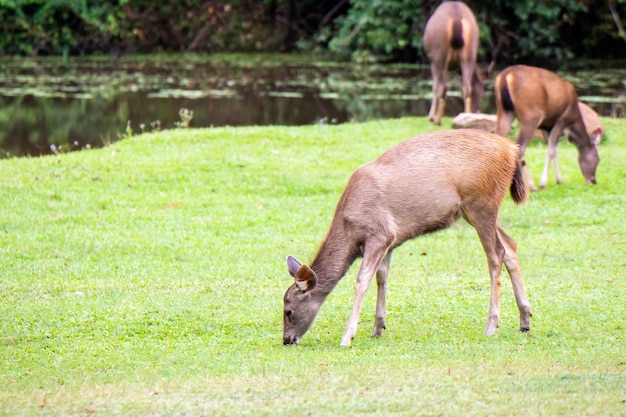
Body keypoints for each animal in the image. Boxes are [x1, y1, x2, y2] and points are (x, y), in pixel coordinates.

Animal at [282, 128, 532, 346]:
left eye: (288, 311)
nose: (287, 339)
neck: (349, 229)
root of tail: (510, 150)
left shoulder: (379, 233)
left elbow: (362, 281)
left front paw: (347, 337)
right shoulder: (390, 241)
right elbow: (382, 277)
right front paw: (378, 328)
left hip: (481, 202)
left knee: (496, 254)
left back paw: (491, 326)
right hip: (473, 210)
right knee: (510, 245)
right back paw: (525, 319)